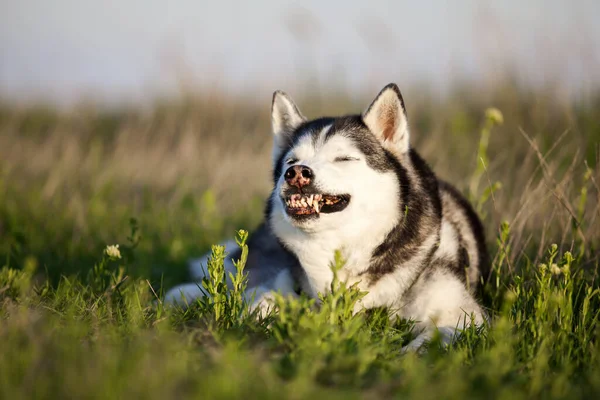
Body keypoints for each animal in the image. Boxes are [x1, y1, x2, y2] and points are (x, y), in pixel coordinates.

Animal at [164, 83, 488, 350]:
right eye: (291, 161)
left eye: (343, 158)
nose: (297, 173)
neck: (342, 249)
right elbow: (261, 299)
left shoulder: (464, 316)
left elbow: (432, 338)